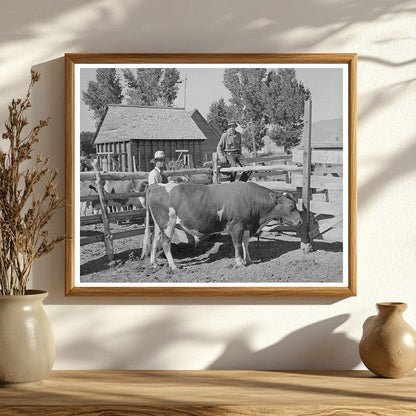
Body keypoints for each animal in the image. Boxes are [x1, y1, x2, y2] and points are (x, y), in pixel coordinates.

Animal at [143, 182, 302, 270]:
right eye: (291, 206)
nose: (300, 222)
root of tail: (157, 185)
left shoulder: (246, 225)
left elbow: (245, 243)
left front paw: (249, 260)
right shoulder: (236, 225)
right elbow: (237, 244)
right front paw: (239, 262)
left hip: (158, 225)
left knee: (155, 241)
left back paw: (154, 263)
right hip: (168, 225)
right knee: (165, 244)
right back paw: (173, 266)